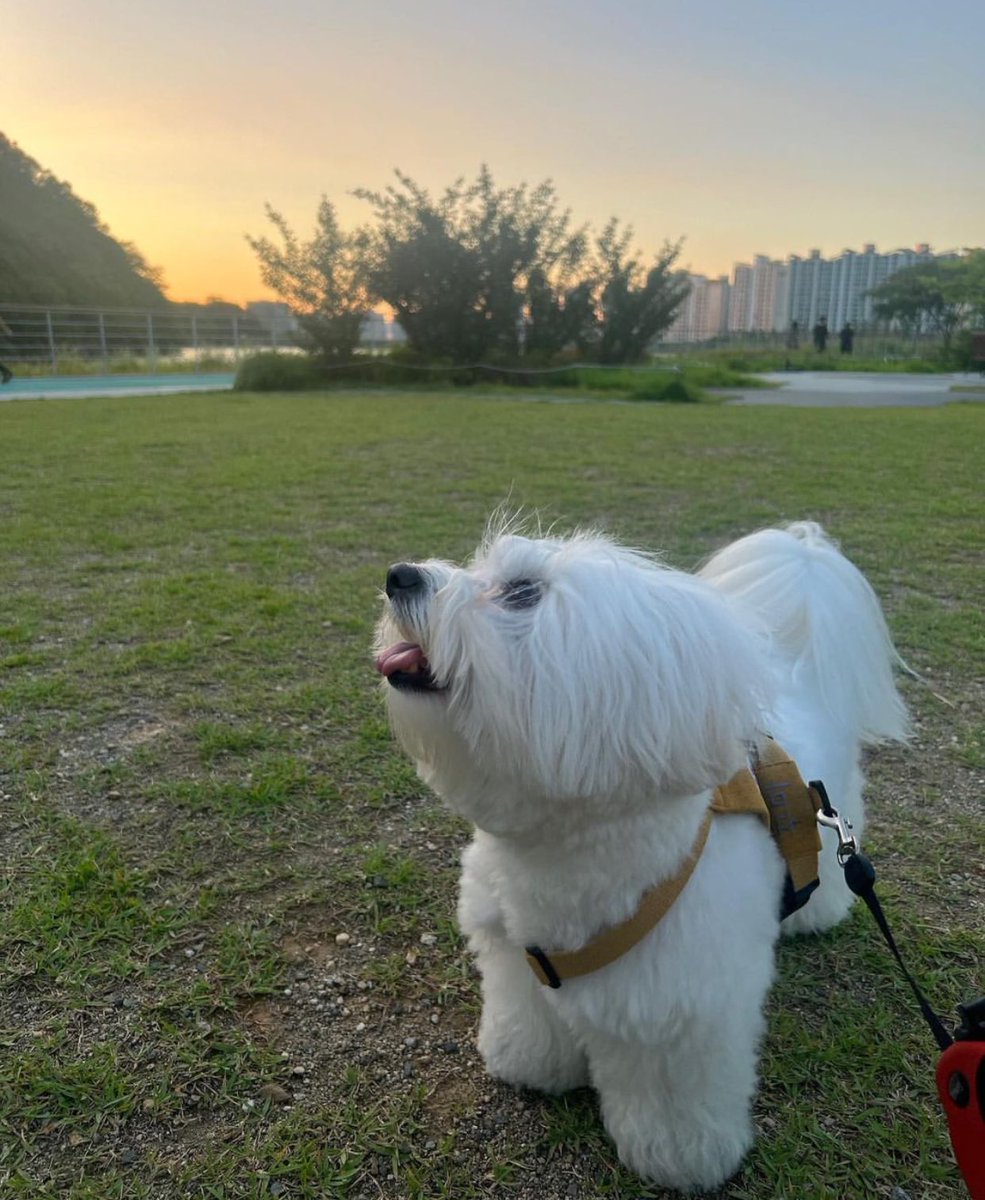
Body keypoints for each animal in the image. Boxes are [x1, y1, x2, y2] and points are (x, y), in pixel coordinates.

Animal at [375, 520, 908, 1191]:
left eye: (522, 593)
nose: (399, 575)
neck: (560, 854)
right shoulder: (514, 957)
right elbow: (530, 1019)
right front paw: (529, 1063)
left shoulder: (677, 1013)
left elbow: (671, 1099)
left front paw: (680, 1159)